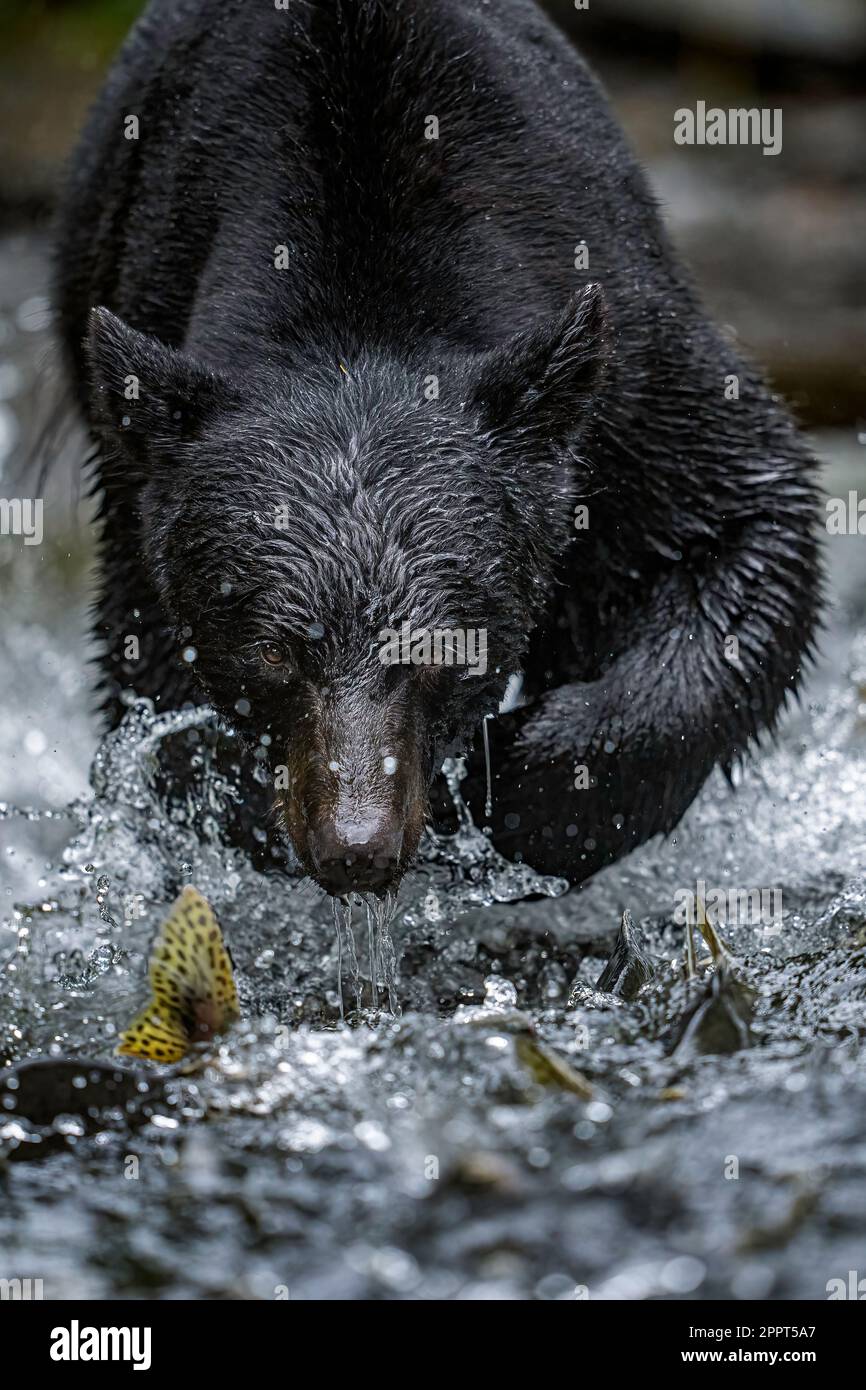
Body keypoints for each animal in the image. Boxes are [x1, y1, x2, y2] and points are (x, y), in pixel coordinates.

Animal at [52, 2, 817, 900]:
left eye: (443, 647)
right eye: (272, 649)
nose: (355, 846)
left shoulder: (626, 355)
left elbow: (737, 520)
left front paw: (525, 789)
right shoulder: (145, 431)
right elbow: (150, 670)